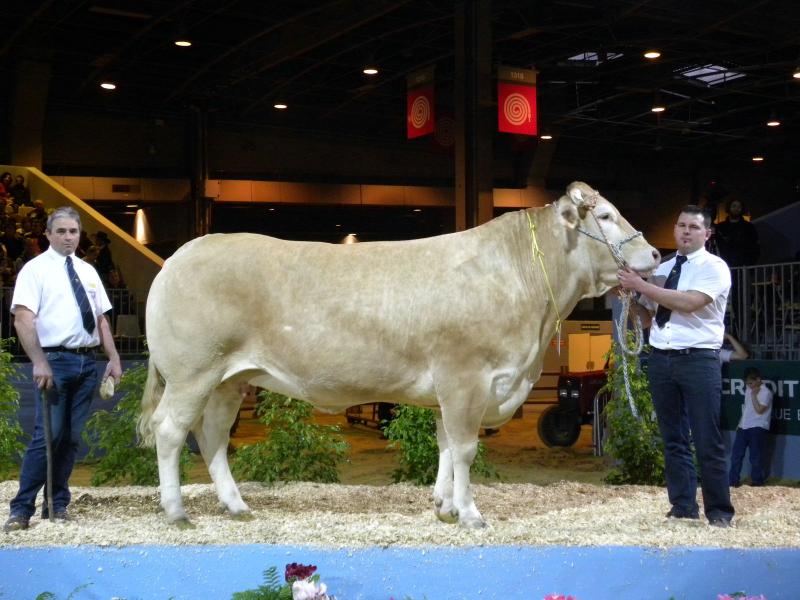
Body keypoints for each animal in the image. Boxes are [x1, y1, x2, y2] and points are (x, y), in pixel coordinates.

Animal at [141, 180, 660, 528]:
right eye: (606, 216)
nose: (655, 255)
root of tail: (185, 251)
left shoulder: (453, 389)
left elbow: (446, 446)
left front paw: (445, 507)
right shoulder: (465, 377)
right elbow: (465, 448)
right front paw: (471, 513)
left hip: (230, 379)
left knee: (211, 436)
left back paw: (236, 505)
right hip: (193, 373)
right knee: (170, 431)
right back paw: (176, 512)